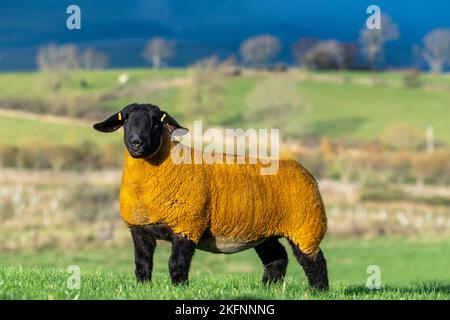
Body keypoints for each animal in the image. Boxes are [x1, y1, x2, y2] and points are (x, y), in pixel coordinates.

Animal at [94, 102, 326, 290]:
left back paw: (318, 290)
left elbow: (177, 264)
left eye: (155, 122)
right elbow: (142, 263)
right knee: (277, 259)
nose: (136, 143)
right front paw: (144, 287)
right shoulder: (140, 229)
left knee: (314, 261)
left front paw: (179, 289)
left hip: (305, 226)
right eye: (125, 120)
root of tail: (304, 171)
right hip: (264, 231)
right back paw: (268, 288)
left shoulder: (187, 226)